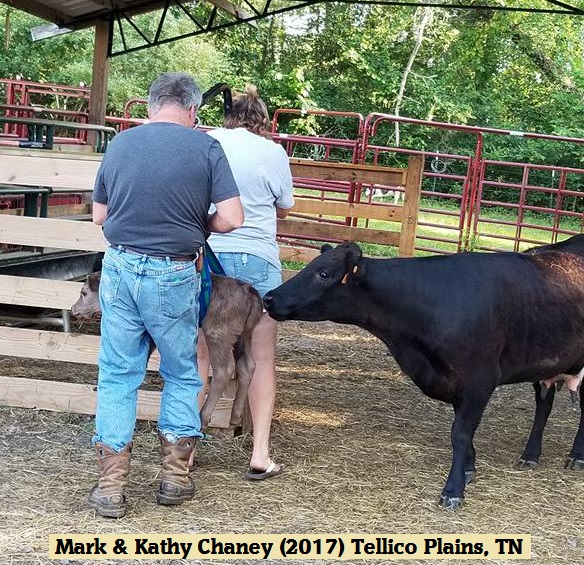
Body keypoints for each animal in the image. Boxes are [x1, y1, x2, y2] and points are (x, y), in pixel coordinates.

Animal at [266, 236, 584, 508]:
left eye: (323, 274)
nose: (270, 298)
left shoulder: (479, 380)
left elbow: (460, 432)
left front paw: (453, 490)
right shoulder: (453, 381)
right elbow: (464, 431)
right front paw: (468, 468)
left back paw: (576, 456)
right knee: (544, 404)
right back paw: (530, 454)